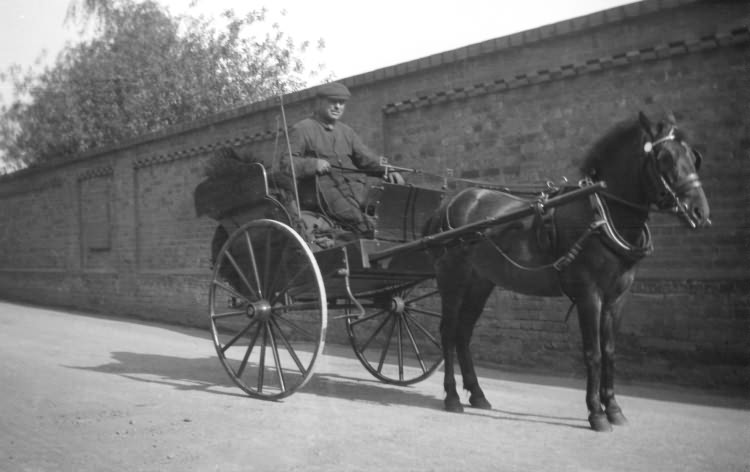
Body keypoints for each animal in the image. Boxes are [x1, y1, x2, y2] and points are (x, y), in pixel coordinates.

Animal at [426, 110, 712, 432]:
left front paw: (614, 408)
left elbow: (610, 351)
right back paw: (451, 396)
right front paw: (596, 413)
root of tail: (452, 202)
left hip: (480, 282)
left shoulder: (617, 298)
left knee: (463, 332)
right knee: (448, 331)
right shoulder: (589, 295)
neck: (601, 214)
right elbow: (593, 353)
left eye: (693, 157)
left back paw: (477, 394)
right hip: (453, 279)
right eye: (664, 159)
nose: (700, 212)